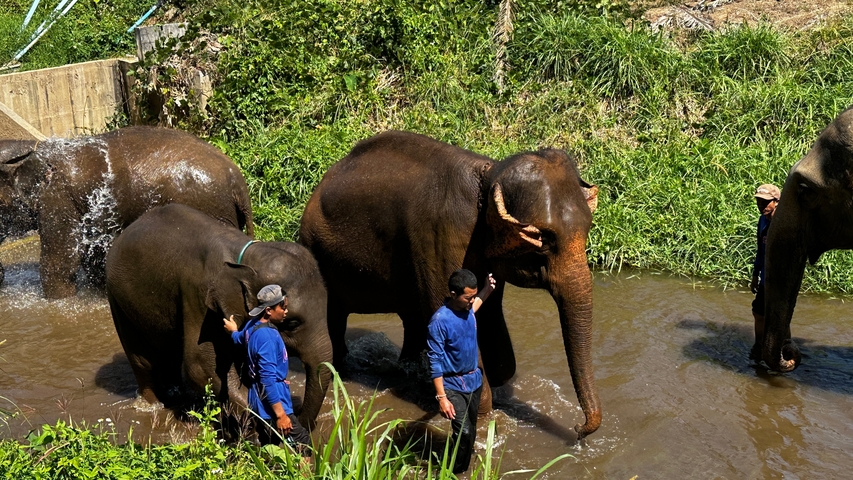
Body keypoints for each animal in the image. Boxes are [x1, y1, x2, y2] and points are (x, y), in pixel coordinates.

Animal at [105, 203, 332, 428]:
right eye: (292, 323)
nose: (299, 414)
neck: (247, 256)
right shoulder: (199, 299)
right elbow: (201, 367)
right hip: (116, 298)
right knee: (142, 359)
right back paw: (153, 405)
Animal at [299, 130, 601, 439]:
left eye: (588, 228)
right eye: (544, 240)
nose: (578, 429)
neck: (490, 175)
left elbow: (491, 324)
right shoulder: (440, 236)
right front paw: (482, 414)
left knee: (411, 318)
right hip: (318, 251)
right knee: (336, 318)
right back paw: (345, 368)